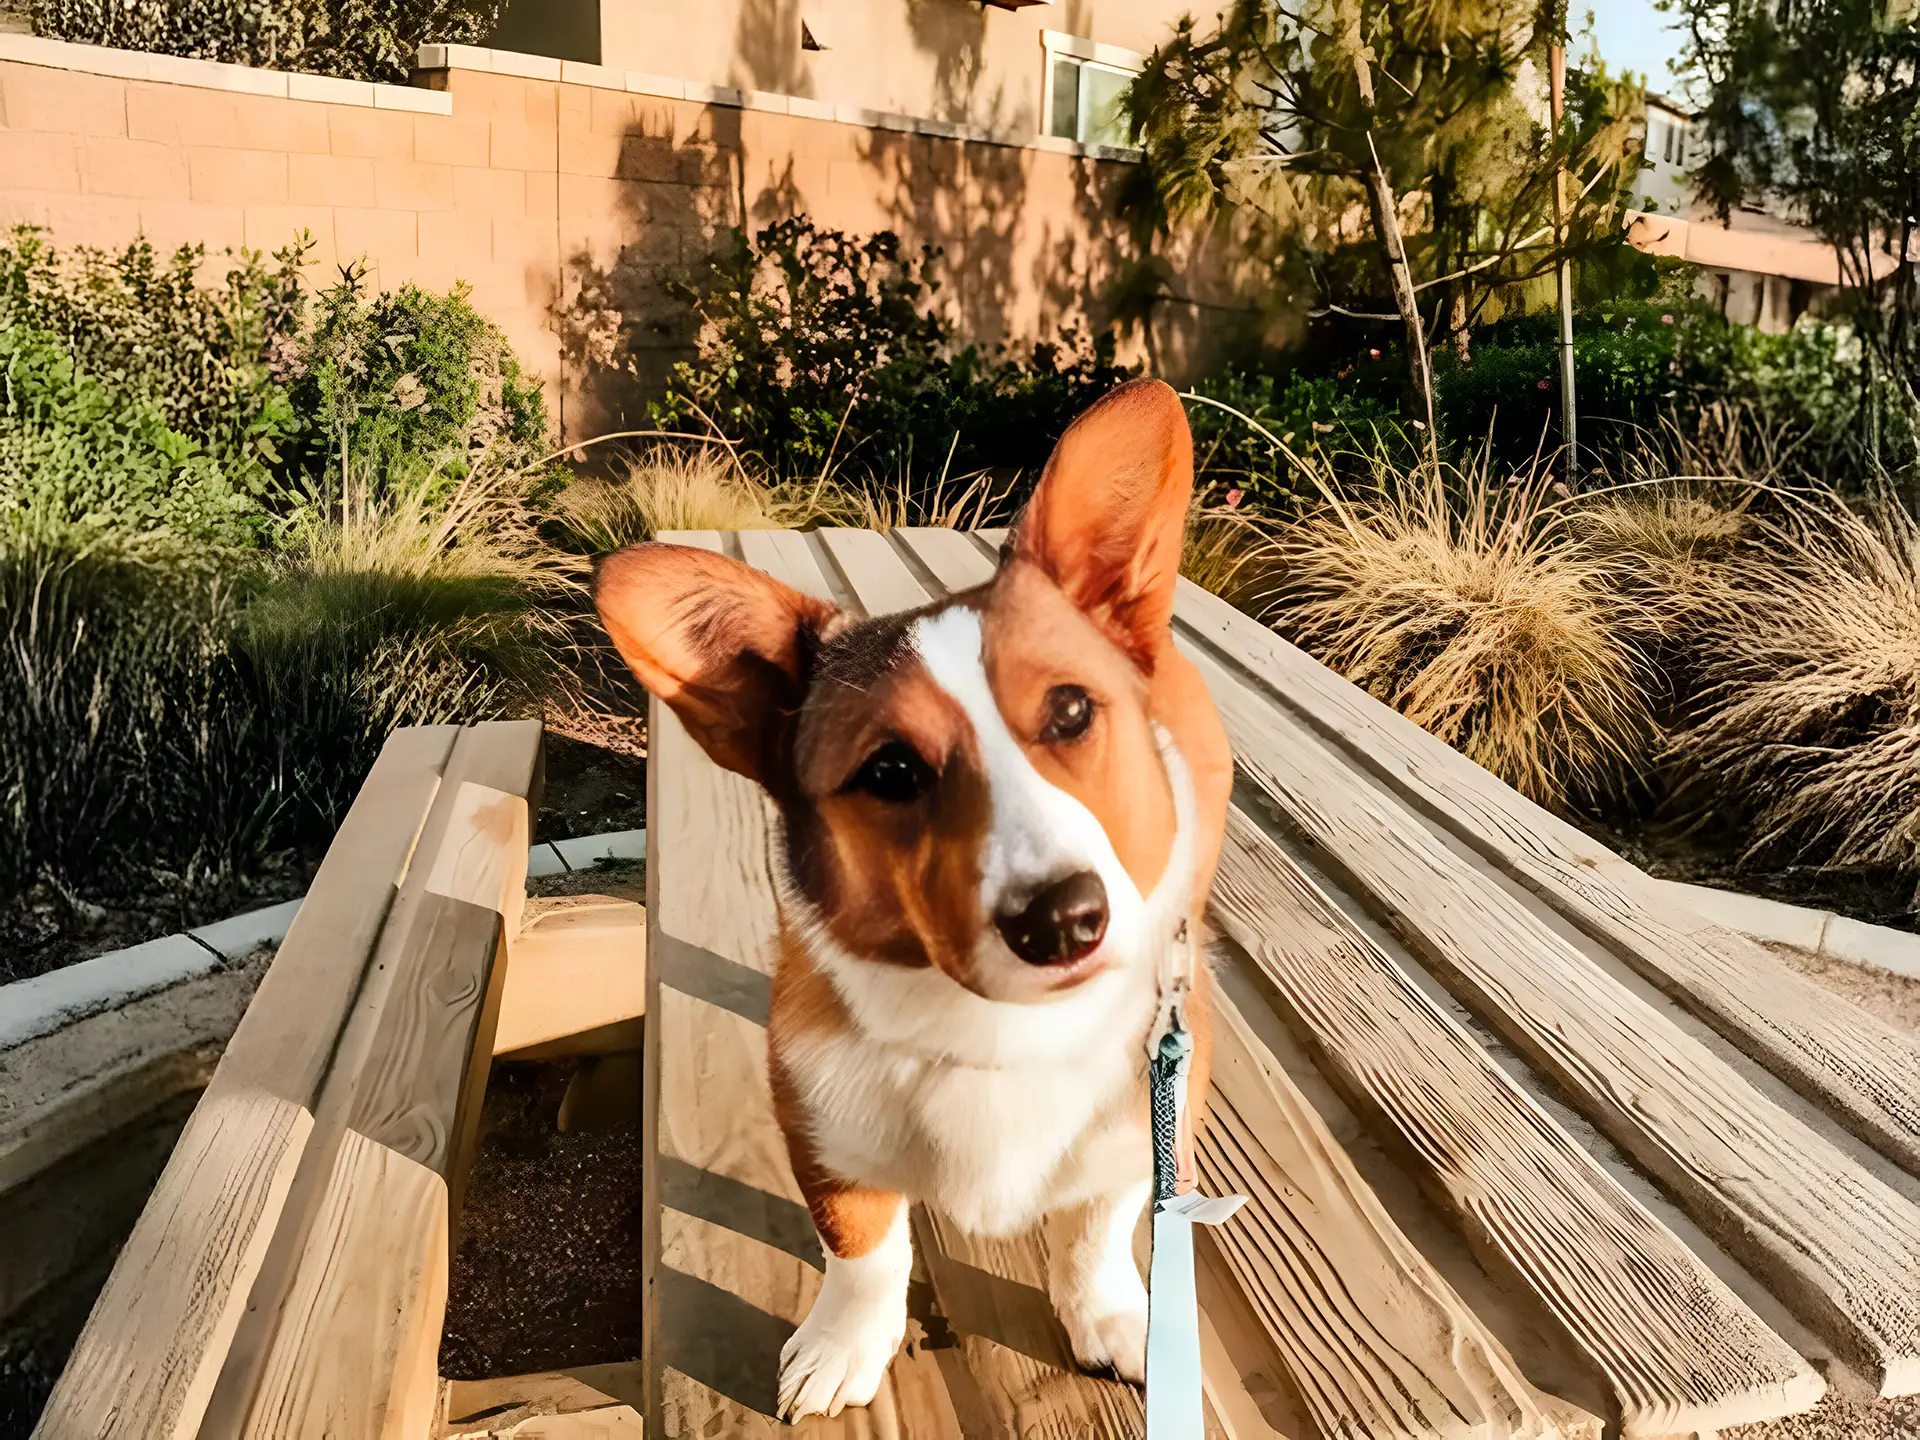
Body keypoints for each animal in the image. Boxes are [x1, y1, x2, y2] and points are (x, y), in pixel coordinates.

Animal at [591, 378, 1236, 1428]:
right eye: (891, 771)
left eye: (1071, 711)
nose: (1063, 920)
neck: (998, 1036)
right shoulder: (826, 1138)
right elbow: (863, 1249)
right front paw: (844, 1346)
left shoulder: (1136, 1132)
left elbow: (1097, 1233)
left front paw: (1112, 1318)